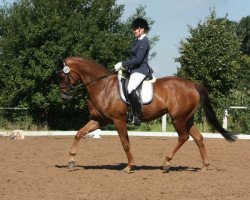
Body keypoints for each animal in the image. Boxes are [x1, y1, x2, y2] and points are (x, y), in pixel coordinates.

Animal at [55, 57, 237, 173]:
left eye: (62, 75)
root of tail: (192, 84)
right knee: (198, 138)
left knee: (184, 137)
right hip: (187, 119)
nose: (65, 96)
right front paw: (71, 161)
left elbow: (125, 143)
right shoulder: (99, 120)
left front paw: (129, 166)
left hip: (178, 119)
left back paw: (166, 163)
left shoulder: (118, 120)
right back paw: (205, 166)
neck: (102, 85)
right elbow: (79, 134)